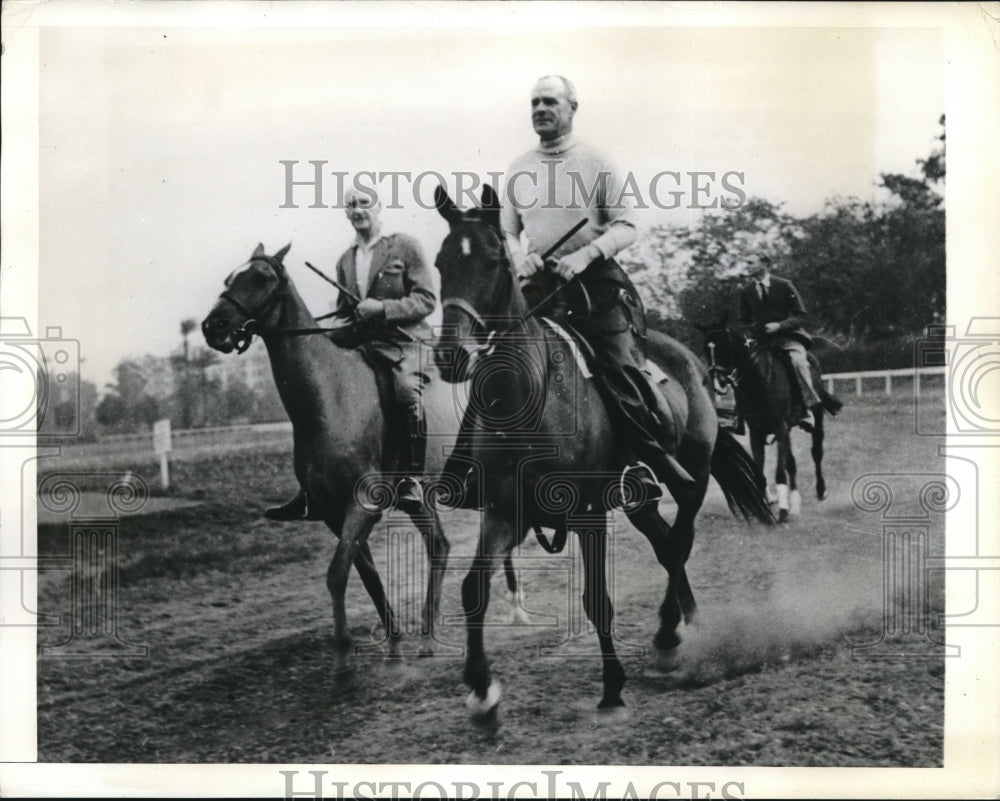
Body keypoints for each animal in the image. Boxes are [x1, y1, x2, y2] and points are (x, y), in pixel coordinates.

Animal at [201, 244, 482, 688]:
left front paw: (344, 659)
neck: (328, 399)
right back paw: (428, 635)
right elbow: (365, 575)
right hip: (420, 498)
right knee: (439, 544)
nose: (213, 326)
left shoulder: (362, 505)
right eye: (230, 277)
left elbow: (336, 574)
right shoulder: (334, 512)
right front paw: (394, 646)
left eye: (261, 277)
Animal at [432, 188, 772, 720]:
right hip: (638, 498)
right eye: (440, 262)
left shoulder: (588, 512)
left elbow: (597, 600)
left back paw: (668, 633)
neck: (532, 400)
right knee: (665, 544)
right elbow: (473, 588)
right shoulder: (504, 511)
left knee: (679, 542)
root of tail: (693, 362)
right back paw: (683, 628)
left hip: (690, 477)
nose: (451, 355)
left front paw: (612, 687)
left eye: (493, 262)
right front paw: (481, 688)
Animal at [696, 318, 844, 524]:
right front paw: (766, 503)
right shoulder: (756, 432)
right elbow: (760, 473)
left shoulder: (780, 427)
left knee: (816, 453)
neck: (758, 381)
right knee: (791, 463)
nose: (717, 383)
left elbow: (779, 472)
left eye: (724, 347)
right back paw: (795, 503)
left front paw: (782, 510)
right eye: (705, 349)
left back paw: (820, 491)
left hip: (815, 420)